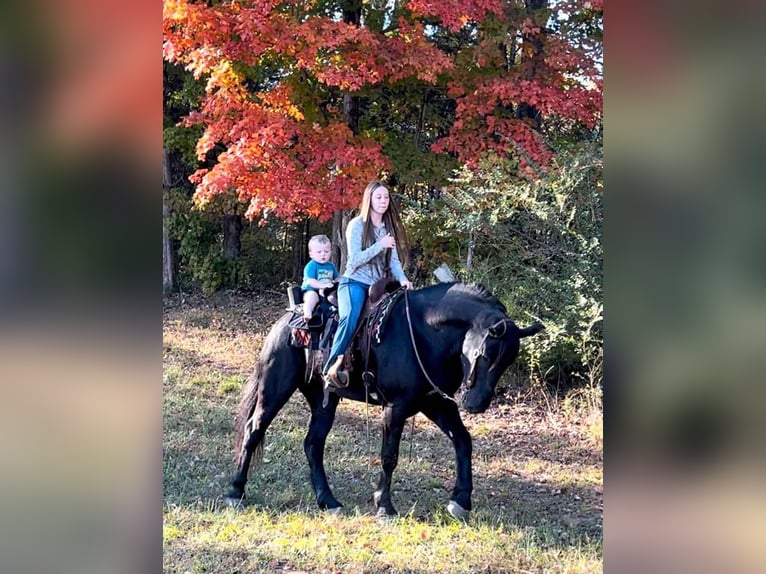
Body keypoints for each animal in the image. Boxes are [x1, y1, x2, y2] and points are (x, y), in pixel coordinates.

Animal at [225, 282, 544, 520]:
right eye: (486, 355)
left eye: (507, 361)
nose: (477, 404)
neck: (426, 334)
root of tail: (286, 319)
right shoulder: (396, 407)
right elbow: (389, 455)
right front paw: (384, 506)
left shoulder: (435, 403)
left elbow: (463, 441)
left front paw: (461, 501)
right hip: (275, 387)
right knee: (254, 430)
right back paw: (235, 492)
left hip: (324, 400)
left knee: (313, 444)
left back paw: (328, 501)